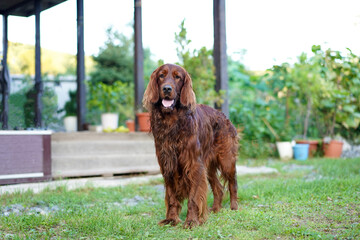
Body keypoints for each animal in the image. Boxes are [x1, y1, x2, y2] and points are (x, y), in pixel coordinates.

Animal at [143, 62, 239, 228]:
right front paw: (171, 219)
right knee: (218, 188)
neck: (172, 122)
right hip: (208, 166)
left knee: (232, 183)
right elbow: (172, 197)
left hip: (226, 159)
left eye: (177, 77)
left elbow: (194, 197)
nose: (167, 89)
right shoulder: (168, 164)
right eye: (161, 75)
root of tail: (223, 115)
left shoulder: (194, 164)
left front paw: (192, 221)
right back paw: (215, 209)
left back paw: (233, 207)